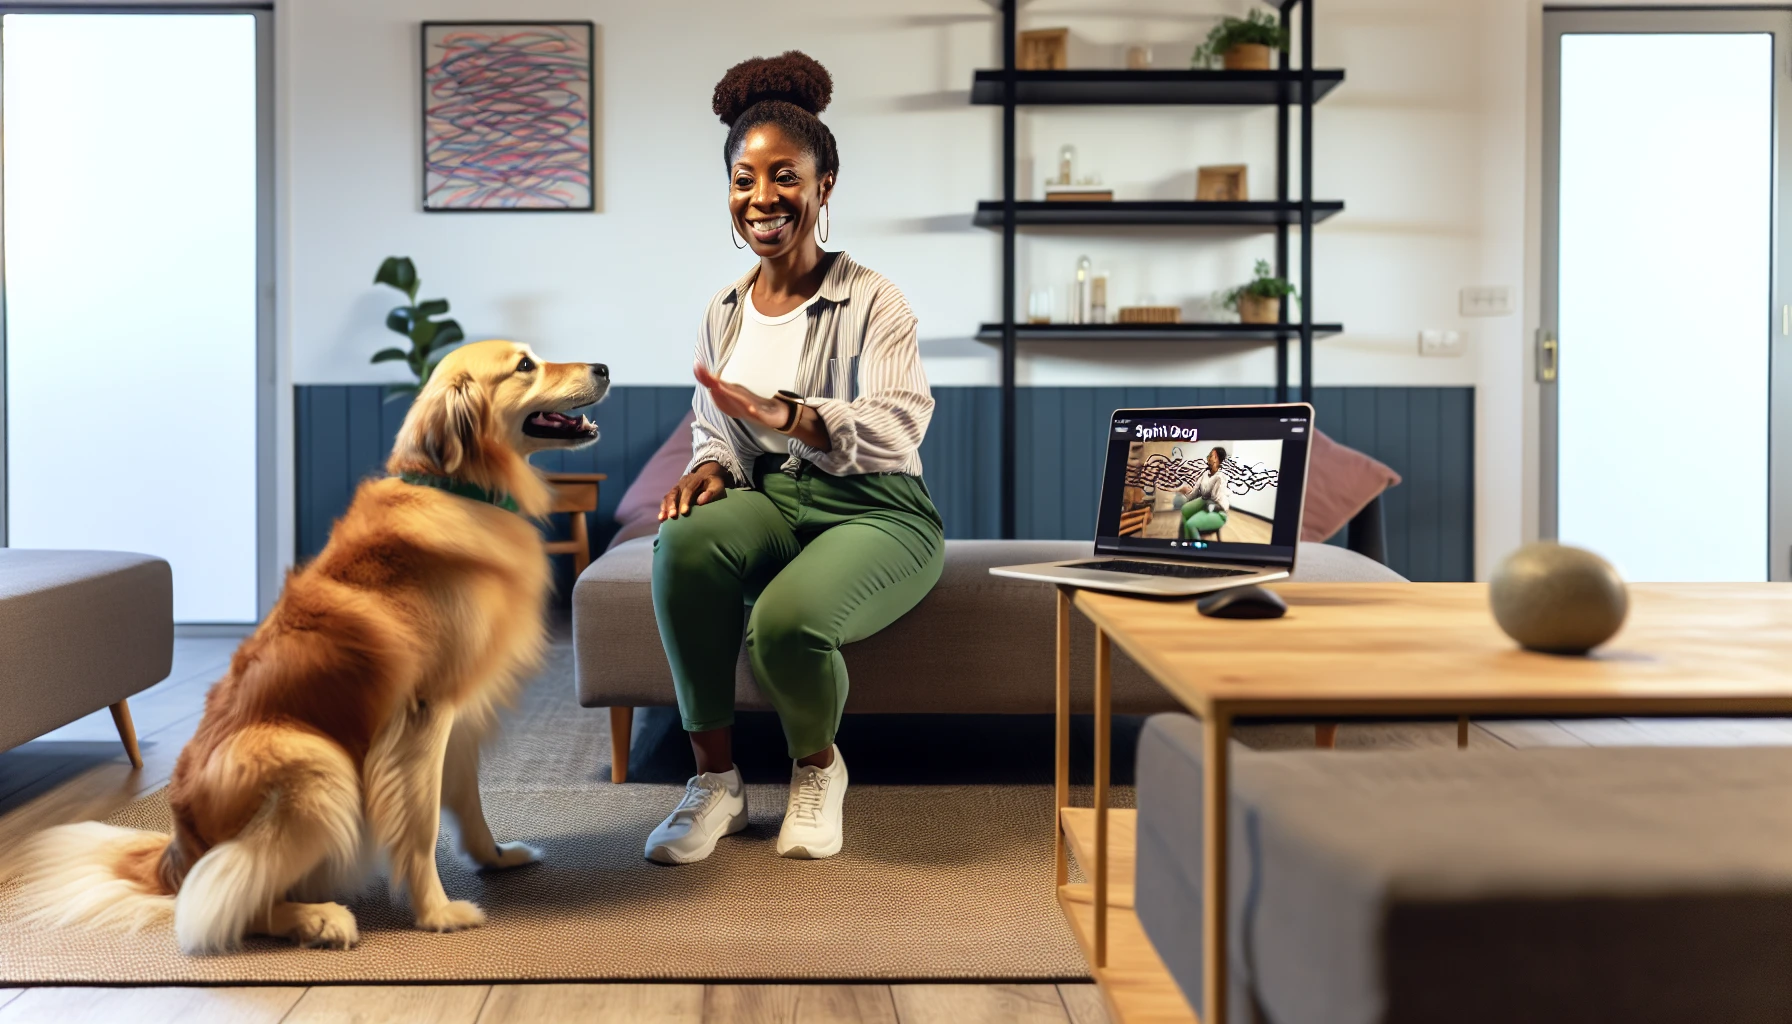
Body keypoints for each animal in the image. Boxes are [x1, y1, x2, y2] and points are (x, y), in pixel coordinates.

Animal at [0, 342, 605, 954]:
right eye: (525, 365)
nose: (603, 368)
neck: (457, 488)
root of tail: (176, 853)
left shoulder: (457, 716)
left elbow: (467, 800)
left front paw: (495, 859)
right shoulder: (422, 714)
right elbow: (420, 823)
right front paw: (437, 913)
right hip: (318, 765)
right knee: (219, 904)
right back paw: (318, 919)